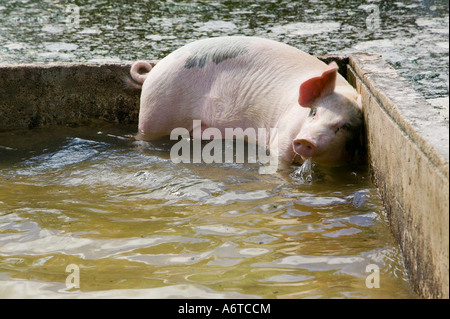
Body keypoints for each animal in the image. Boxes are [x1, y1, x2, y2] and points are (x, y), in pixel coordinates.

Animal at [130, 36, 362, 168]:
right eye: (313, 112)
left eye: (345, 126)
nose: (306, 140)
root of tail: (153, 71)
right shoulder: (284, 132)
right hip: (156, 108)